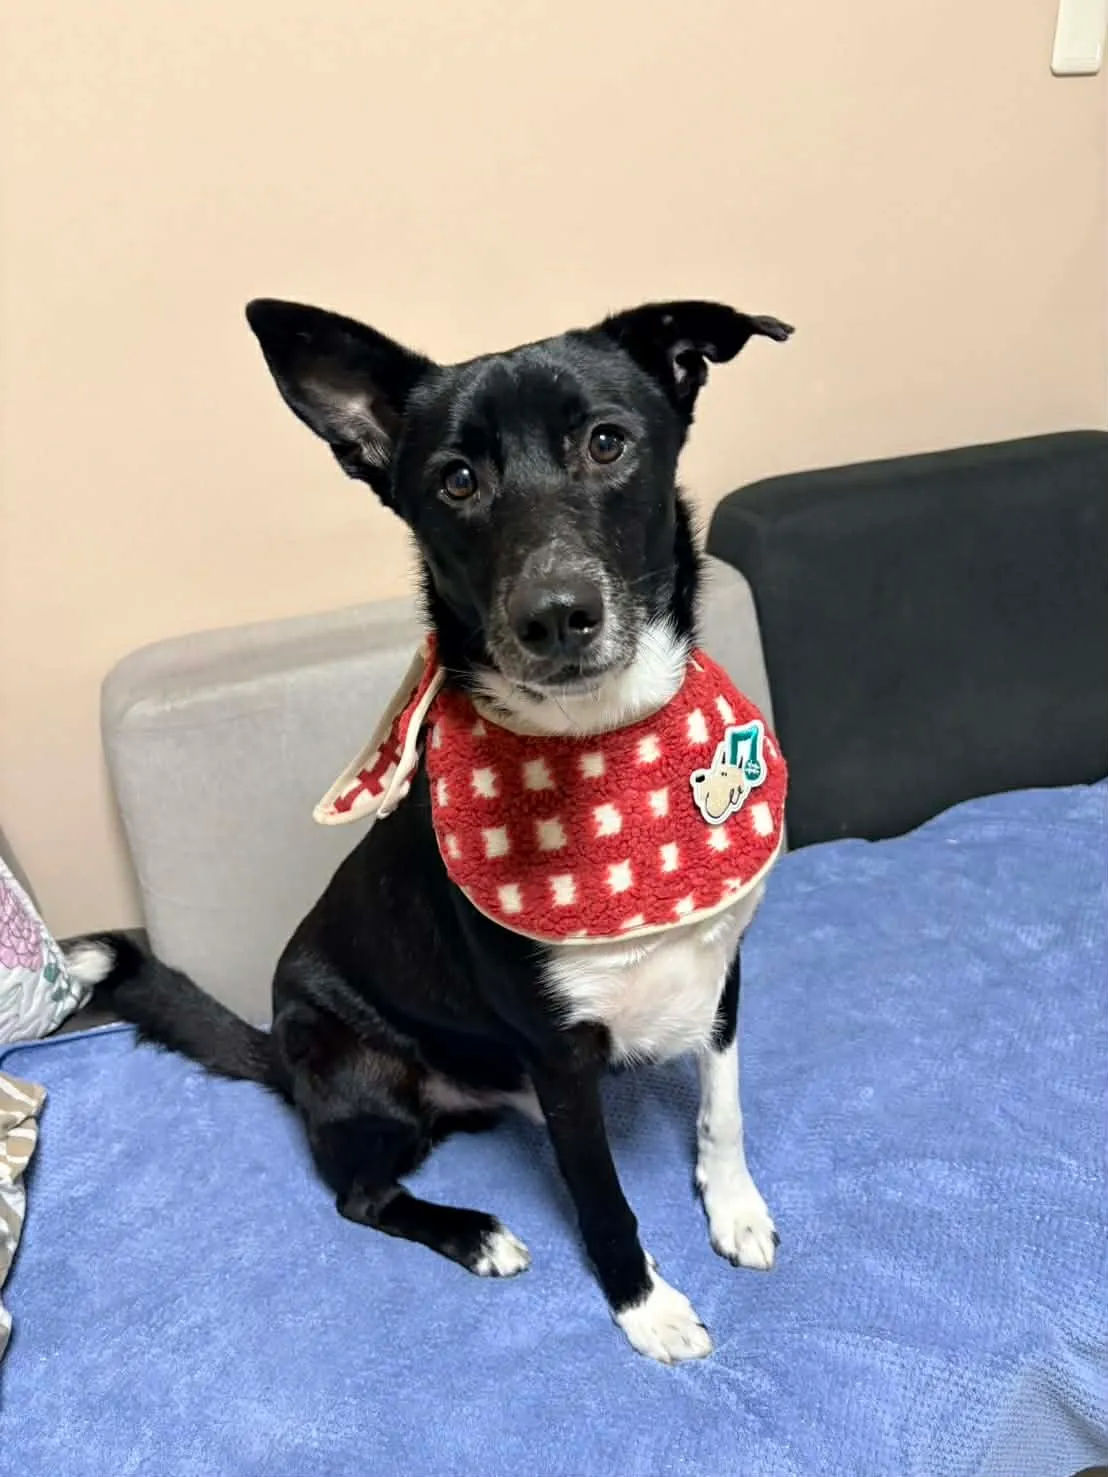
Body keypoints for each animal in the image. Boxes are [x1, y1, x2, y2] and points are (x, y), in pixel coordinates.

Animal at [77, 296, 792, 1365]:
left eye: (607, 442)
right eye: (457, 480)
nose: (556, 615)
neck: (600, 745)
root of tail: (280, 1054)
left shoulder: (722, 972)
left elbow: (725, 1106)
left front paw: (736, 1207)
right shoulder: (557, 1055)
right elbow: (604, 1199)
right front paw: (645, 1304)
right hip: (361, 1074)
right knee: (359, 1195)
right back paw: (477, 1231)